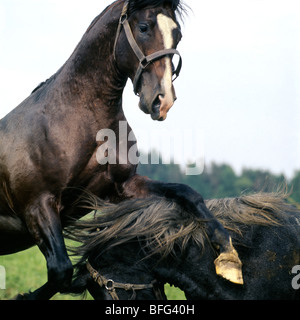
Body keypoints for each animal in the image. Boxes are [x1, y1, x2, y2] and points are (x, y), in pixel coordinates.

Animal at [0, 0, 243, 300]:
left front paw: (228, 257)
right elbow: (61, 271)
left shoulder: (120, 188)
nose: (162, 101)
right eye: (144, 27)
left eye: (177, 34)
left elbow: (188, 193)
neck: (79, 119)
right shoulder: (38, 204)